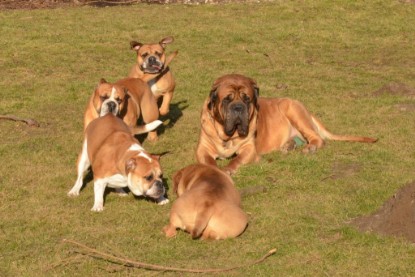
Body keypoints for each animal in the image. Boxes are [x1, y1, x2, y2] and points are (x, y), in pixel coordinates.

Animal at [197, 72, 378, 174]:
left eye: (246, 99)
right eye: (227, 99)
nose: (238, 107)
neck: (228, 136)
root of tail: (308, 111)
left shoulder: (249, 150)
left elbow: (237, 159)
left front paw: (227, 169)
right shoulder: (202, 149)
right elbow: (209, 161)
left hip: (293, 110)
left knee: (317, 138)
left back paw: (309, 148)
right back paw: (289, 146)